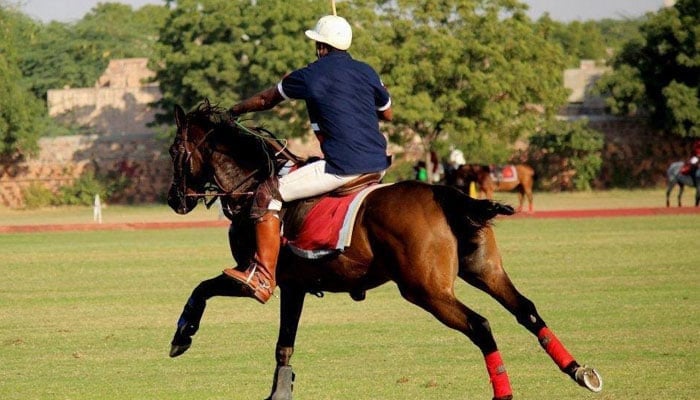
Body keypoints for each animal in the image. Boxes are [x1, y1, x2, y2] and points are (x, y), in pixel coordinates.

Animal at [165, 101, 600, 398]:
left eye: (173, 151)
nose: (174, 201)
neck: (252, 183)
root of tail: (445, 193)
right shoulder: (296, 287)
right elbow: (284, 346)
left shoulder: (260, 277)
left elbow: (203, 288)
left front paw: (182, 335)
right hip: (483, 269)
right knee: (526, 309)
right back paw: (579, 371)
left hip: (425, 290)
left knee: (480, 325)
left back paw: (506, 392)